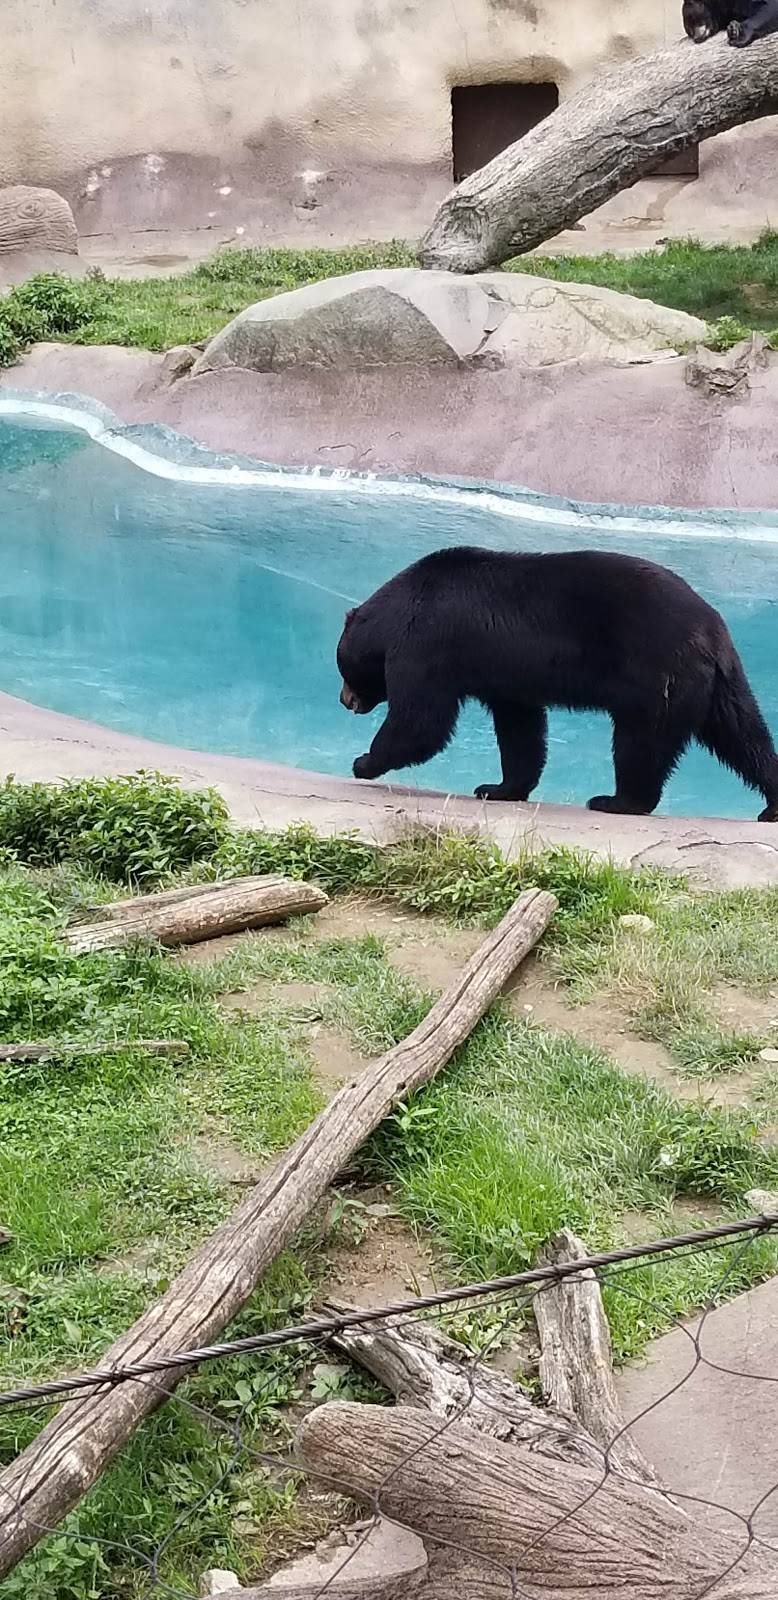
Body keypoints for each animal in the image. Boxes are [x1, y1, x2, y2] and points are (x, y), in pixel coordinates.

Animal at [336, 546, 778, 821]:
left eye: (343, 668)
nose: (345, 700)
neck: (400, 608)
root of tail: (710, 631)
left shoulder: (428, 643)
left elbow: (421, 722)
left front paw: (364, 762)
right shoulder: (503, 674)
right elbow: (520, 727)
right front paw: (498, 787)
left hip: (655, 677)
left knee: (641, 742)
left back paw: (617, 800)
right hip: (719, 685)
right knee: (744, 736)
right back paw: (771, 804)